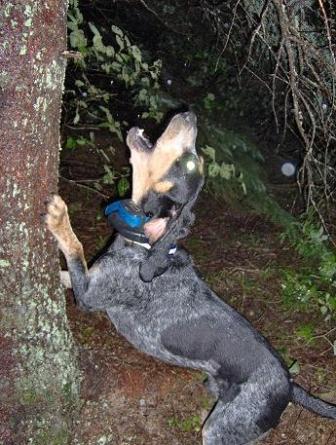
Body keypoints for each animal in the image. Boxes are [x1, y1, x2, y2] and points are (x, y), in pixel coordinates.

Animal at [46, 112, 334, 444]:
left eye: (189, 163)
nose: (190, 115)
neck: (145, 245)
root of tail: (289, 385)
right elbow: (66, 271)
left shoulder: (88, 296)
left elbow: (75, 248)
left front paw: (59, 217)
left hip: (221, 429)